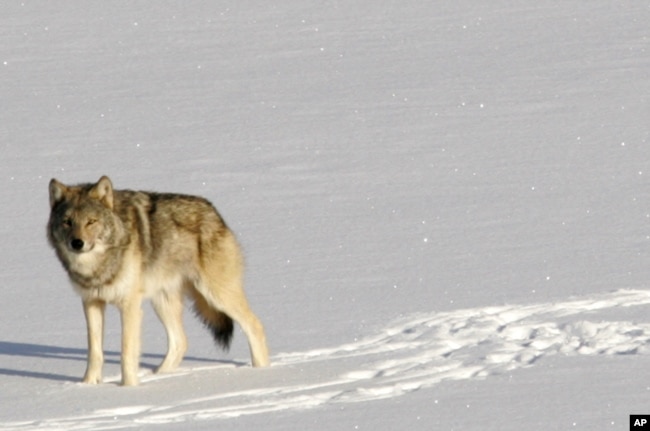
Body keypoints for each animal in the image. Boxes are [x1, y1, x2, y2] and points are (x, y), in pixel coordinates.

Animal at [46, 177, 268, 386]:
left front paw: (128, 387)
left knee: (255, 325)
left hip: (217, 295)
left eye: (91, 222)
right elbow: (94, 352)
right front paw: (88, 385)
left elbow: (127, 351)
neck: (98, 266)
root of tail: (214, 212)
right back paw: (160, 375)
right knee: (180, 342)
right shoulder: (91, 302)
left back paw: (262, 370)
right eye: (67, 221)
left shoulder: (130, 306)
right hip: (162, 302)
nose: (77, 243)